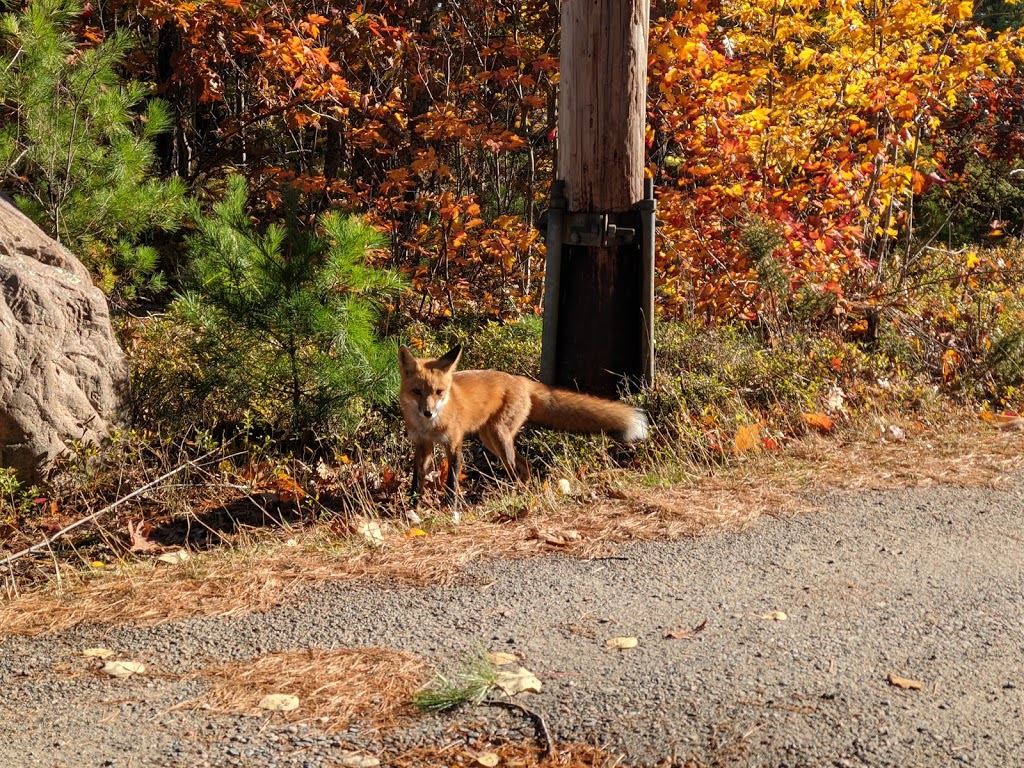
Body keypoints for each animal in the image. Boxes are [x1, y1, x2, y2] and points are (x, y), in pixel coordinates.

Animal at [397, 346, 647, 501]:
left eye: (439, 392)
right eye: (417, 391)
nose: (428, 412)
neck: (429, 427)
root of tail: (520, 379)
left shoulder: (454, 443)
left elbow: (452, 481)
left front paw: (451, 506)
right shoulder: (422, 445)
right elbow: (416, 480)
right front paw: (412, 507)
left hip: (499, 437)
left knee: (516, 469)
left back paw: (515, 494)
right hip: (491, 440)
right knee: (525, 466)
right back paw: (521, 491)